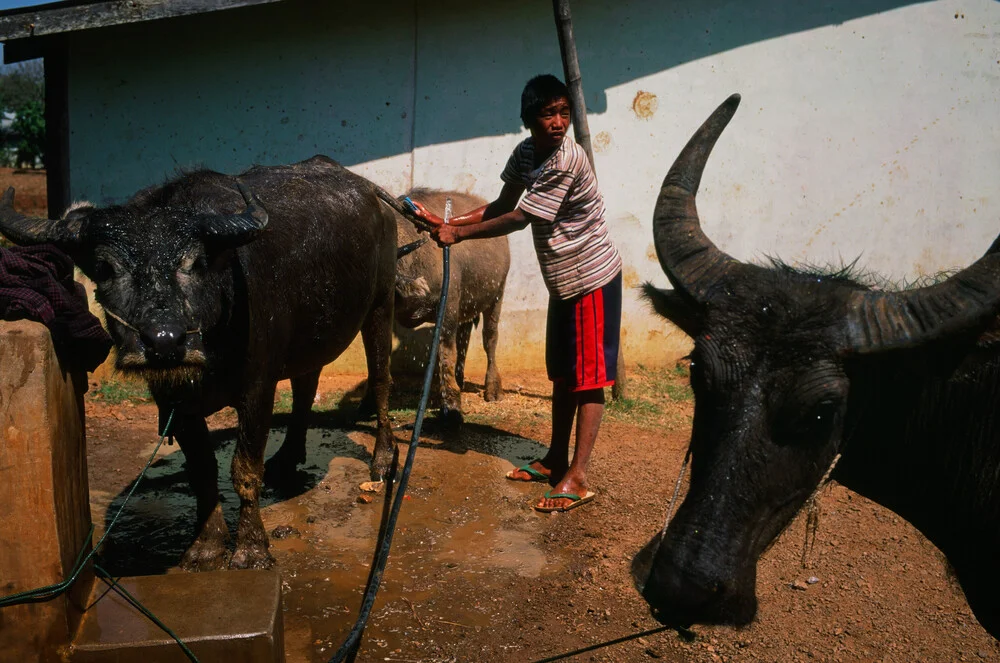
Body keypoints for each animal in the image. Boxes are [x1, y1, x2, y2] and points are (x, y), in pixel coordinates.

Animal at [0, 156, 398, 572]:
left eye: (195, 263)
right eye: (106, 268)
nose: (164, 341)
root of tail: (374, 195)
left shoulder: (258, 389)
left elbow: (244, 468)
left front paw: (251, 548)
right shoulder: (175, 402)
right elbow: (203, 470)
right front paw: (206, 545)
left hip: (381, 303)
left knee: (380, 380)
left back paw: (383, 461)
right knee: (306, 387)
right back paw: (288, 458)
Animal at [394, 189, 512, 422]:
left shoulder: (447, 307)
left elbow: (446, 352)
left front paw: (451, 405)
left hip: (496, 296)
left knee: (490, 339)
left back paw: (493, 388)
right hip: (467, 307)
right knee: (464, 339)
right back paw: (460, 379)